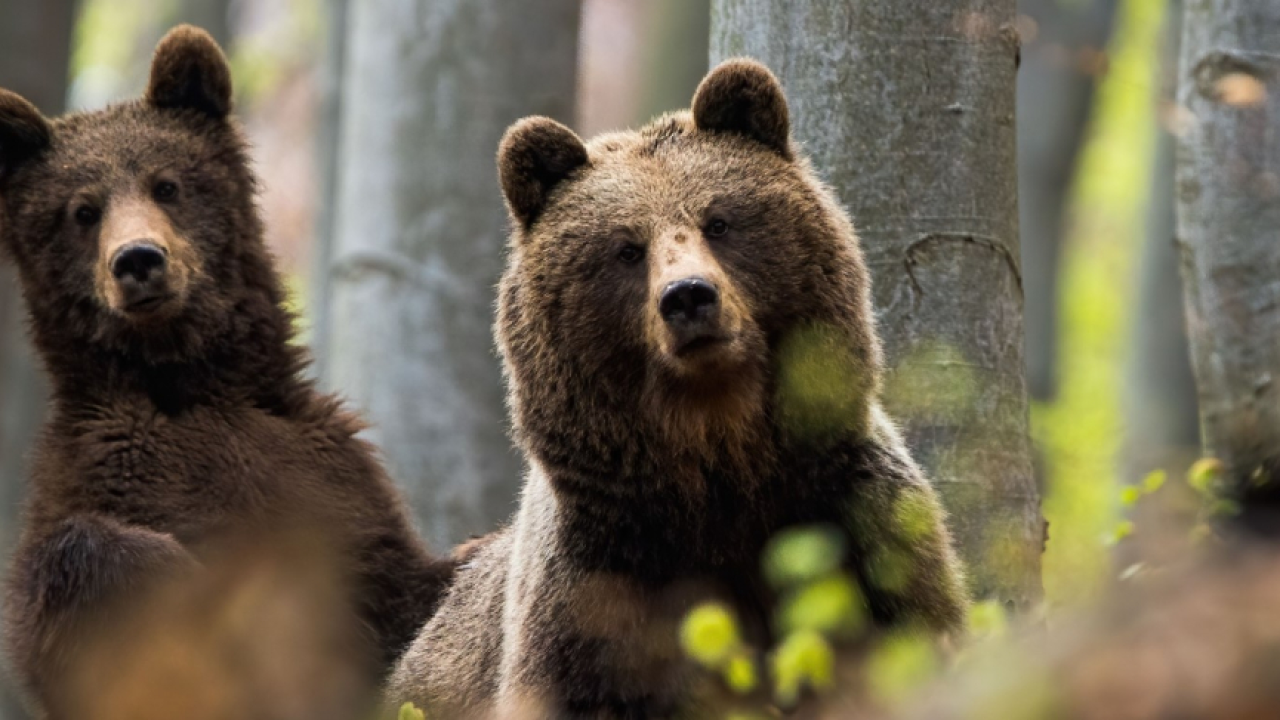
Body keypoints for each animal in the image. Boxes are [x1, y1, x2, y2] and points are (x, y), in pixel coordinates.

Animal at [0, 26, 454, 717]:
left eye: (166, 184)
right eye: (82, 210)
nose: (138, 260)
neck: (186, 377)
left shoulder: (330, 481)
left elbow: (408, 586)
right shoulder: (100, 475)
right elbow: (84, 569)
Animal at [385, 59, 969, 719]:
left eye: (719, 220)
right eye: (626, 248)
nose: (689, 296)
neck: (720, 462)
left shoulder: (861, 531)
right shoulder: (596, 594)